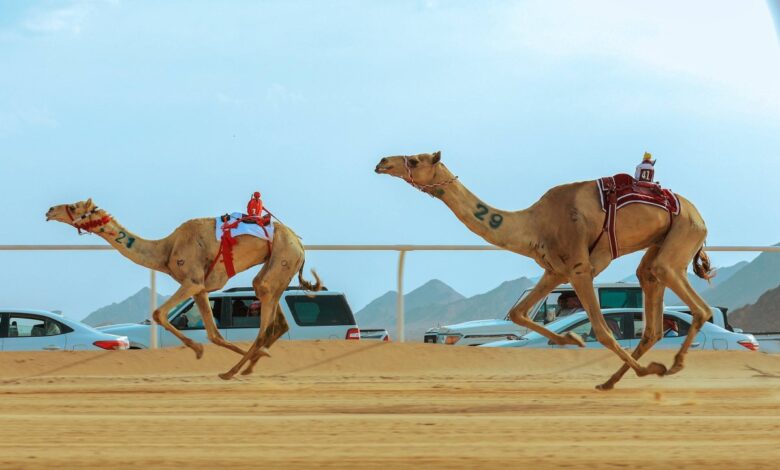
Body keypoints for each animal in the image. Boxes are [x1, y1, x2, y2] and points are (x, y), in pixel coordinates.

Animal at [45, 198, 322, 378]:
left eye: (73, 206)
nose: (49, 210)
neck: (165, 250)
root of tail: (300, 244)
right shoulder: (201, 288)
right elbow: (214, 334)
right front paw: (209, 351)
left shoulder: (192, 280)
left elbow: (158, 314)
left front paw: (199, 350)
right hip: (277, 270)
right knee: (278, 322)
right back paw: (247, 366)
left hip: (282, 258)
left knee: (265, 323)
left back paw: (233, 370)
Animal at [376, 151, 712, 390]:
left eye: (415, 159)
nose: (382, 162)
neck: (535, 224)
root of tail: (699, 215)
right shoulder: (555, 271)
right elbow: (518, 313)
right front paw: (573, 340)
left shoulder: (579, 268)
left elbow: (603, 330)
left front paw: (648, 370)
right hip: (661, 242)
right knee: (651, 297)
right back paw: (612, 381)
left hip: (683, 232)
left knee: (695, 303)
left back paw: (672, 365)